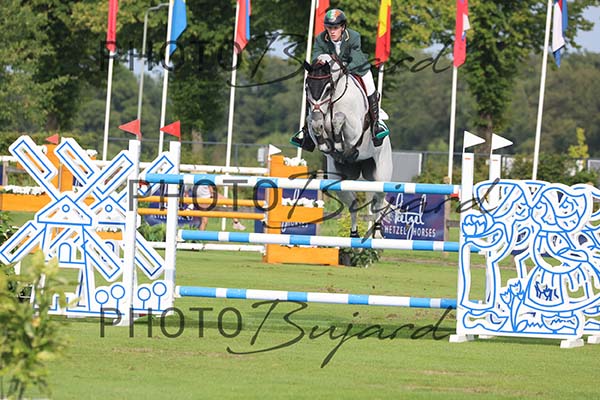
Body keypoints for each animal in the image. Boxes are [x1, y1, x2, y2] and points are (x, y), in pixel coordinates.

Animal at [304, 54, 393, 238]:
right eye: (307, 87)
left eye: (328, 88)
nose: (317, 112)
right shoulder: (314, 120)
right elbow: (312, 123)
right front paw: (326, 144)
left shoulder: (354, 130)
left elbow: (339, 118)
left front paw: (339, 143)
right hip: (340, 181)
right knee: (353, 203)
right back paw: (354, 234)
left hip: (380, 176)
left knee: (379, 202)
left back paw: (378, 234)